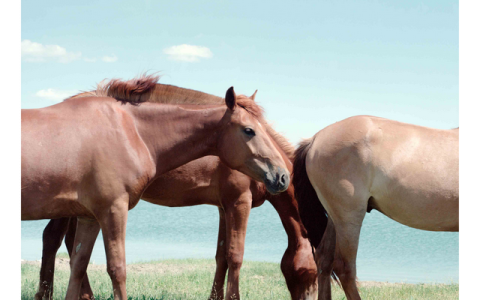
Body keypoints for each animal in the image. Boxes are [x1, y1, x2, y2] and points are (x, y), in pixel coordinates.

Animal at [34, 79, 318, 300]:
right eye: (314, 272)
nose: (281, 177)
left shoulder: (223, 207)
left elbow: (222, 256)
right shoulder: (239, 202)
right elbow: (236, 256)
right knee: (54, 239)